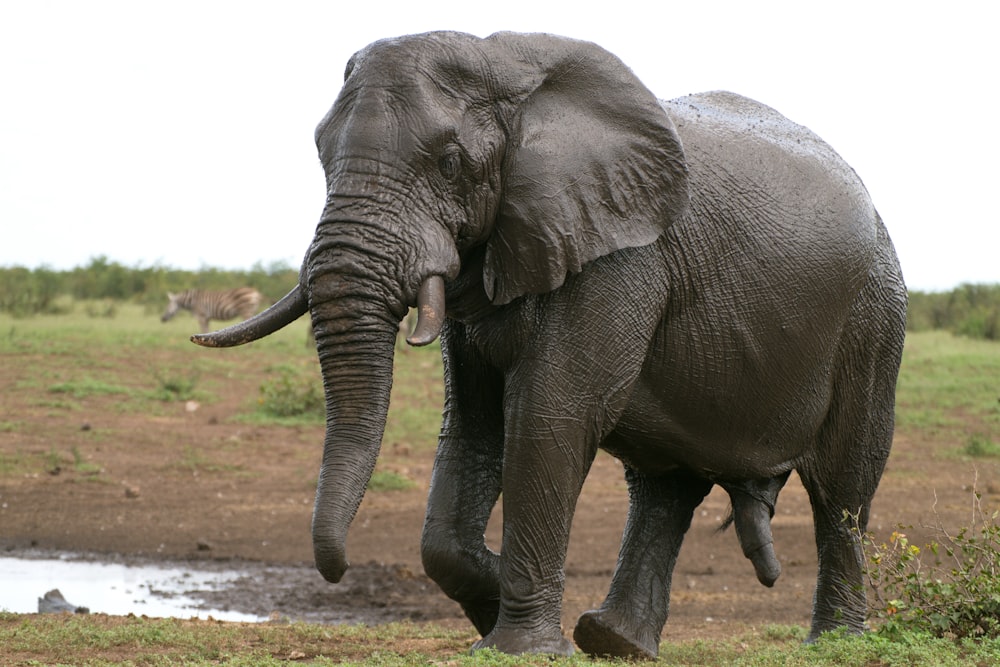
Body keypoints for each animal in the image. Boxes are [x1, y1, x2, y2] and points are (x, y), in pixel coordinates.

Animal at [191, 30, 912, 656]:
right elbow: (473, 425)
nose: (337, 570)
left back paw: (834, 643)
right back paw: (613, 641)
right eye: (319, 153)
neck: (510, 71)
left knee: (844, 486)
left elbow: (549, 416)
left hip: (875, 314)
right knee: (666, 484)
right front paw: (492, 600)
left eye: (449, 163)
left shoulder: (620, 255)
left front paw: (519, 644)